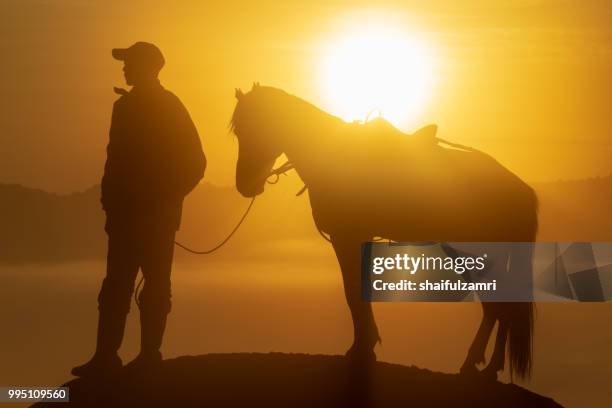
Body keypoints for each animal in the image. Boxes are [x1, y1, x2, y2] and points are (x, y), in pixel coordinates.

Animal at [230, 83, 536, 382]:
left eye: (258, 125)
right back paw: (488, 365)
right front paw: (366, 345)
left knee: (499, 306)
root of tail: (519, 187)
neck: (334, 154)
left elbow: (352, 294)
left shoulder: (346, 238)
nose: (245, 184)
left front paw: (360, 350)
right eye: (238, 131)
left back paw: (477, 364)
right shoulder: (358, 239)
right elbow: (359, 294)